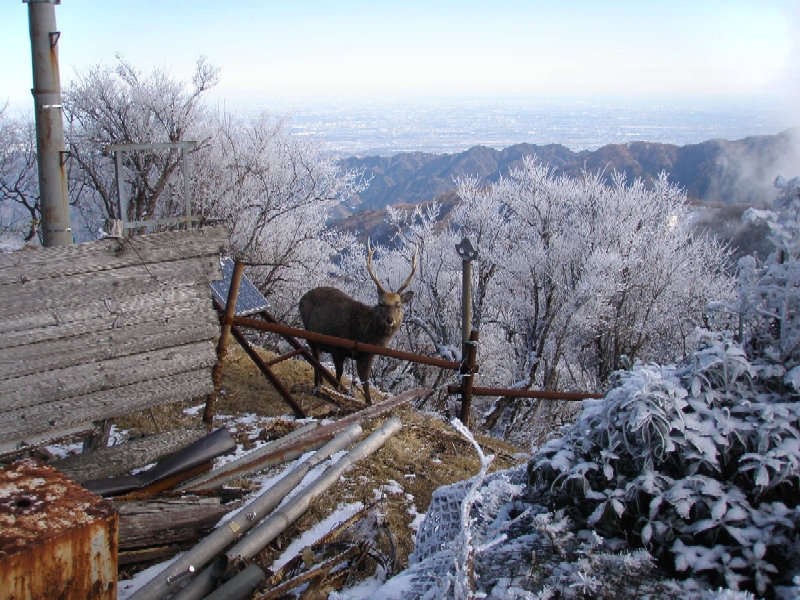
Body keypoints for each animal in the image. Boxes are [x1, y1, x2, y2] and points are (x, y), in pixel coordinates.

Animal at [296, 241, 416, 406]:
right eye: (381, 303)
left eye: (398, 305)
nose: (390, 319)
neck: (362, 334)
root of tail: (302, 297)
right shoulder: (337, 348)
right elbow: (339, 374)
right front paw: (338, 394)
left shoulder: (367, 356)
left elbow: (365, 382)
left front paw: (369, 403)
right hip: (310, 334)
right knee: (315, 358)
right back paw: (317, 386)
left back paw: (318, 385)